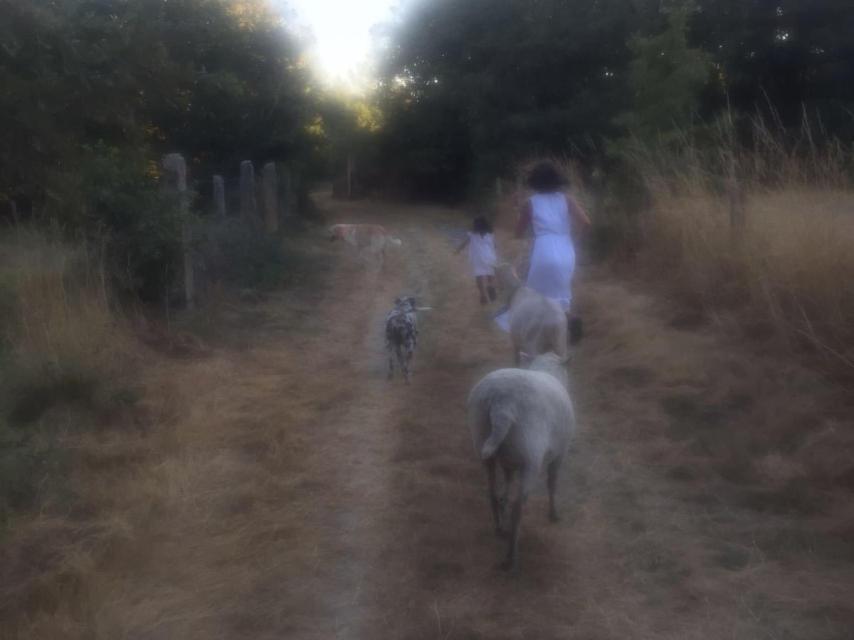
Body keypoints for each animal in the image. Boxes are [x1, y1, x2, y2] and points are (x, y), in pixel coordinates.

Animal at [464, 352, 580, 572]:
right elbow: (552, 483)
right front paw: (554, 513)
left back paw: (499, 526)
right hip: (531, 458)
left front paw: (503, 501)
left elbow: (508, 481)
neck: (546, 369)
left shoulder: (509, 460)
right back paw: (511, 558)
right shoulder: (561, 452)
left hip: (483, 442)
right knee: (518, 508)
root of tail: (501, 404)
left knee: (491, 491)